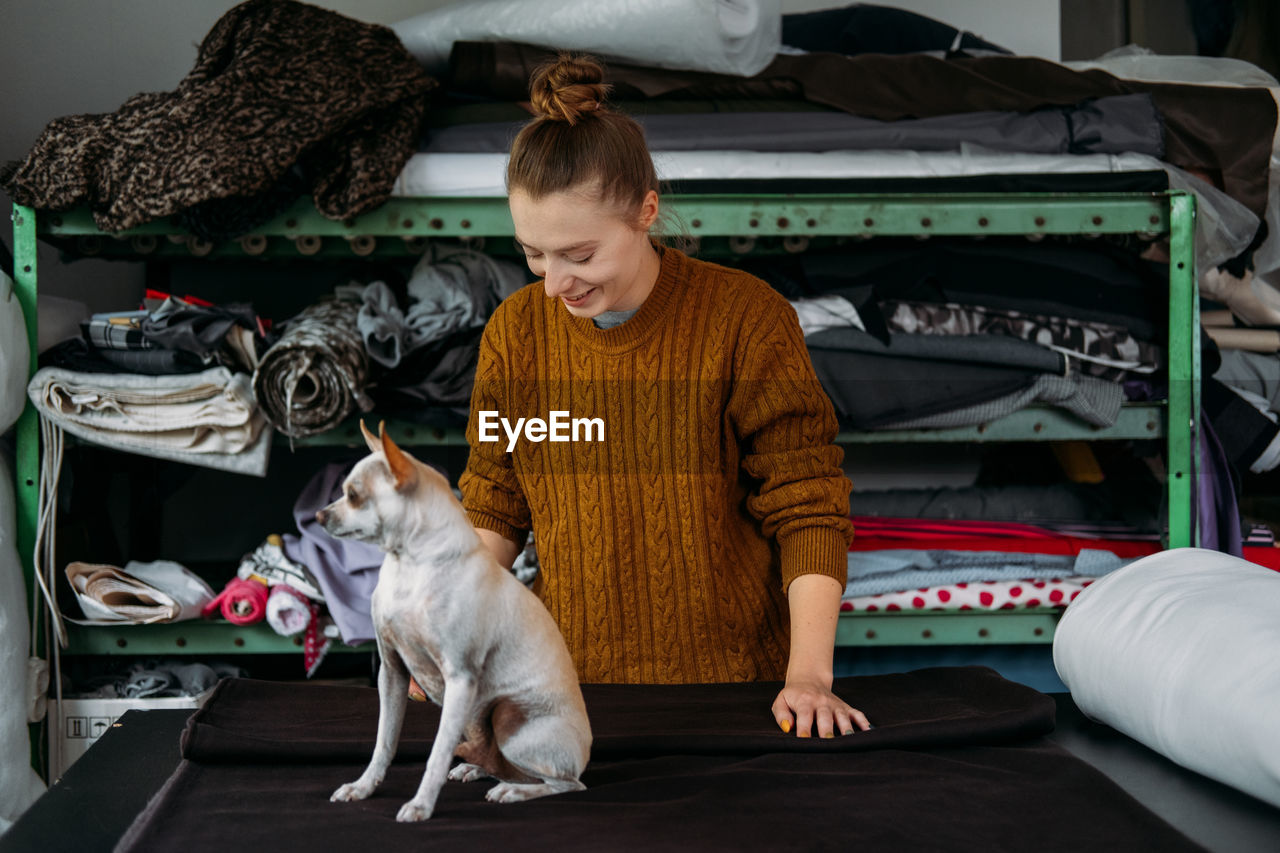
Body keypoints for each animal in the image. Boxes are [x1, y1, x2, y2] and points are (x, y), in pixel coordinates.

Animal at [322, 417, 596, 819]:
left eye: (353, 495)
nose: (319, 515)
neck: (411, 566)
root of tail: (584, 750)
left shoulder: (460, 678)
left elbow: (436, 754)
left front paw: (420, 805)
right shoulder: (392, 672)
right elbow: (384, 742)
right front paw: (363, 786)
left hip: (510, 718)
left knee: (566, 784)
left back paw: (513, 790)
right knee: (508, 764)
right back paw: (480, 768)